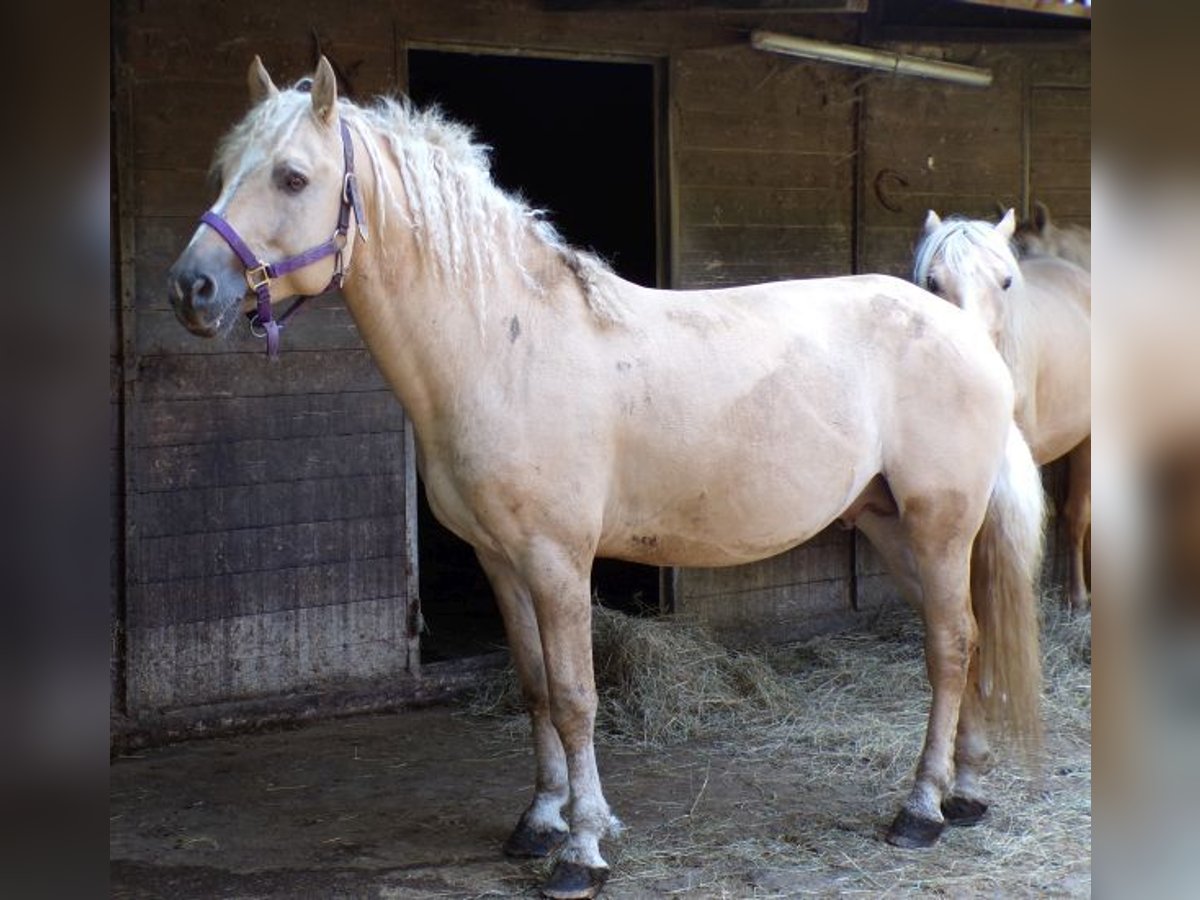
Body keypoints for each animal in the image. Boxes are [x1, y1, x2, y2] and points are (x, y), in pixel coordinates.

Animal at [164, 58, 1046, 900]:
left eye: (291, 177)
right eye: (225, 169)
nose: (190, 289)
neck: (505, 346)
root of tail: (964, 330)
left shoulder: (557, 560)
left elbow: (576, 696)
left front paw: (582, 850)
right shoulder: (500, 561)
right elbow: (533, 688)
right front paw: (541, 820)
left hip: (939, 523)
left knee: (949, 646)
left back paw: (921, 809)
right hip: (890, 523)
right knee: (965, 637)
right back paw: (967, 791)